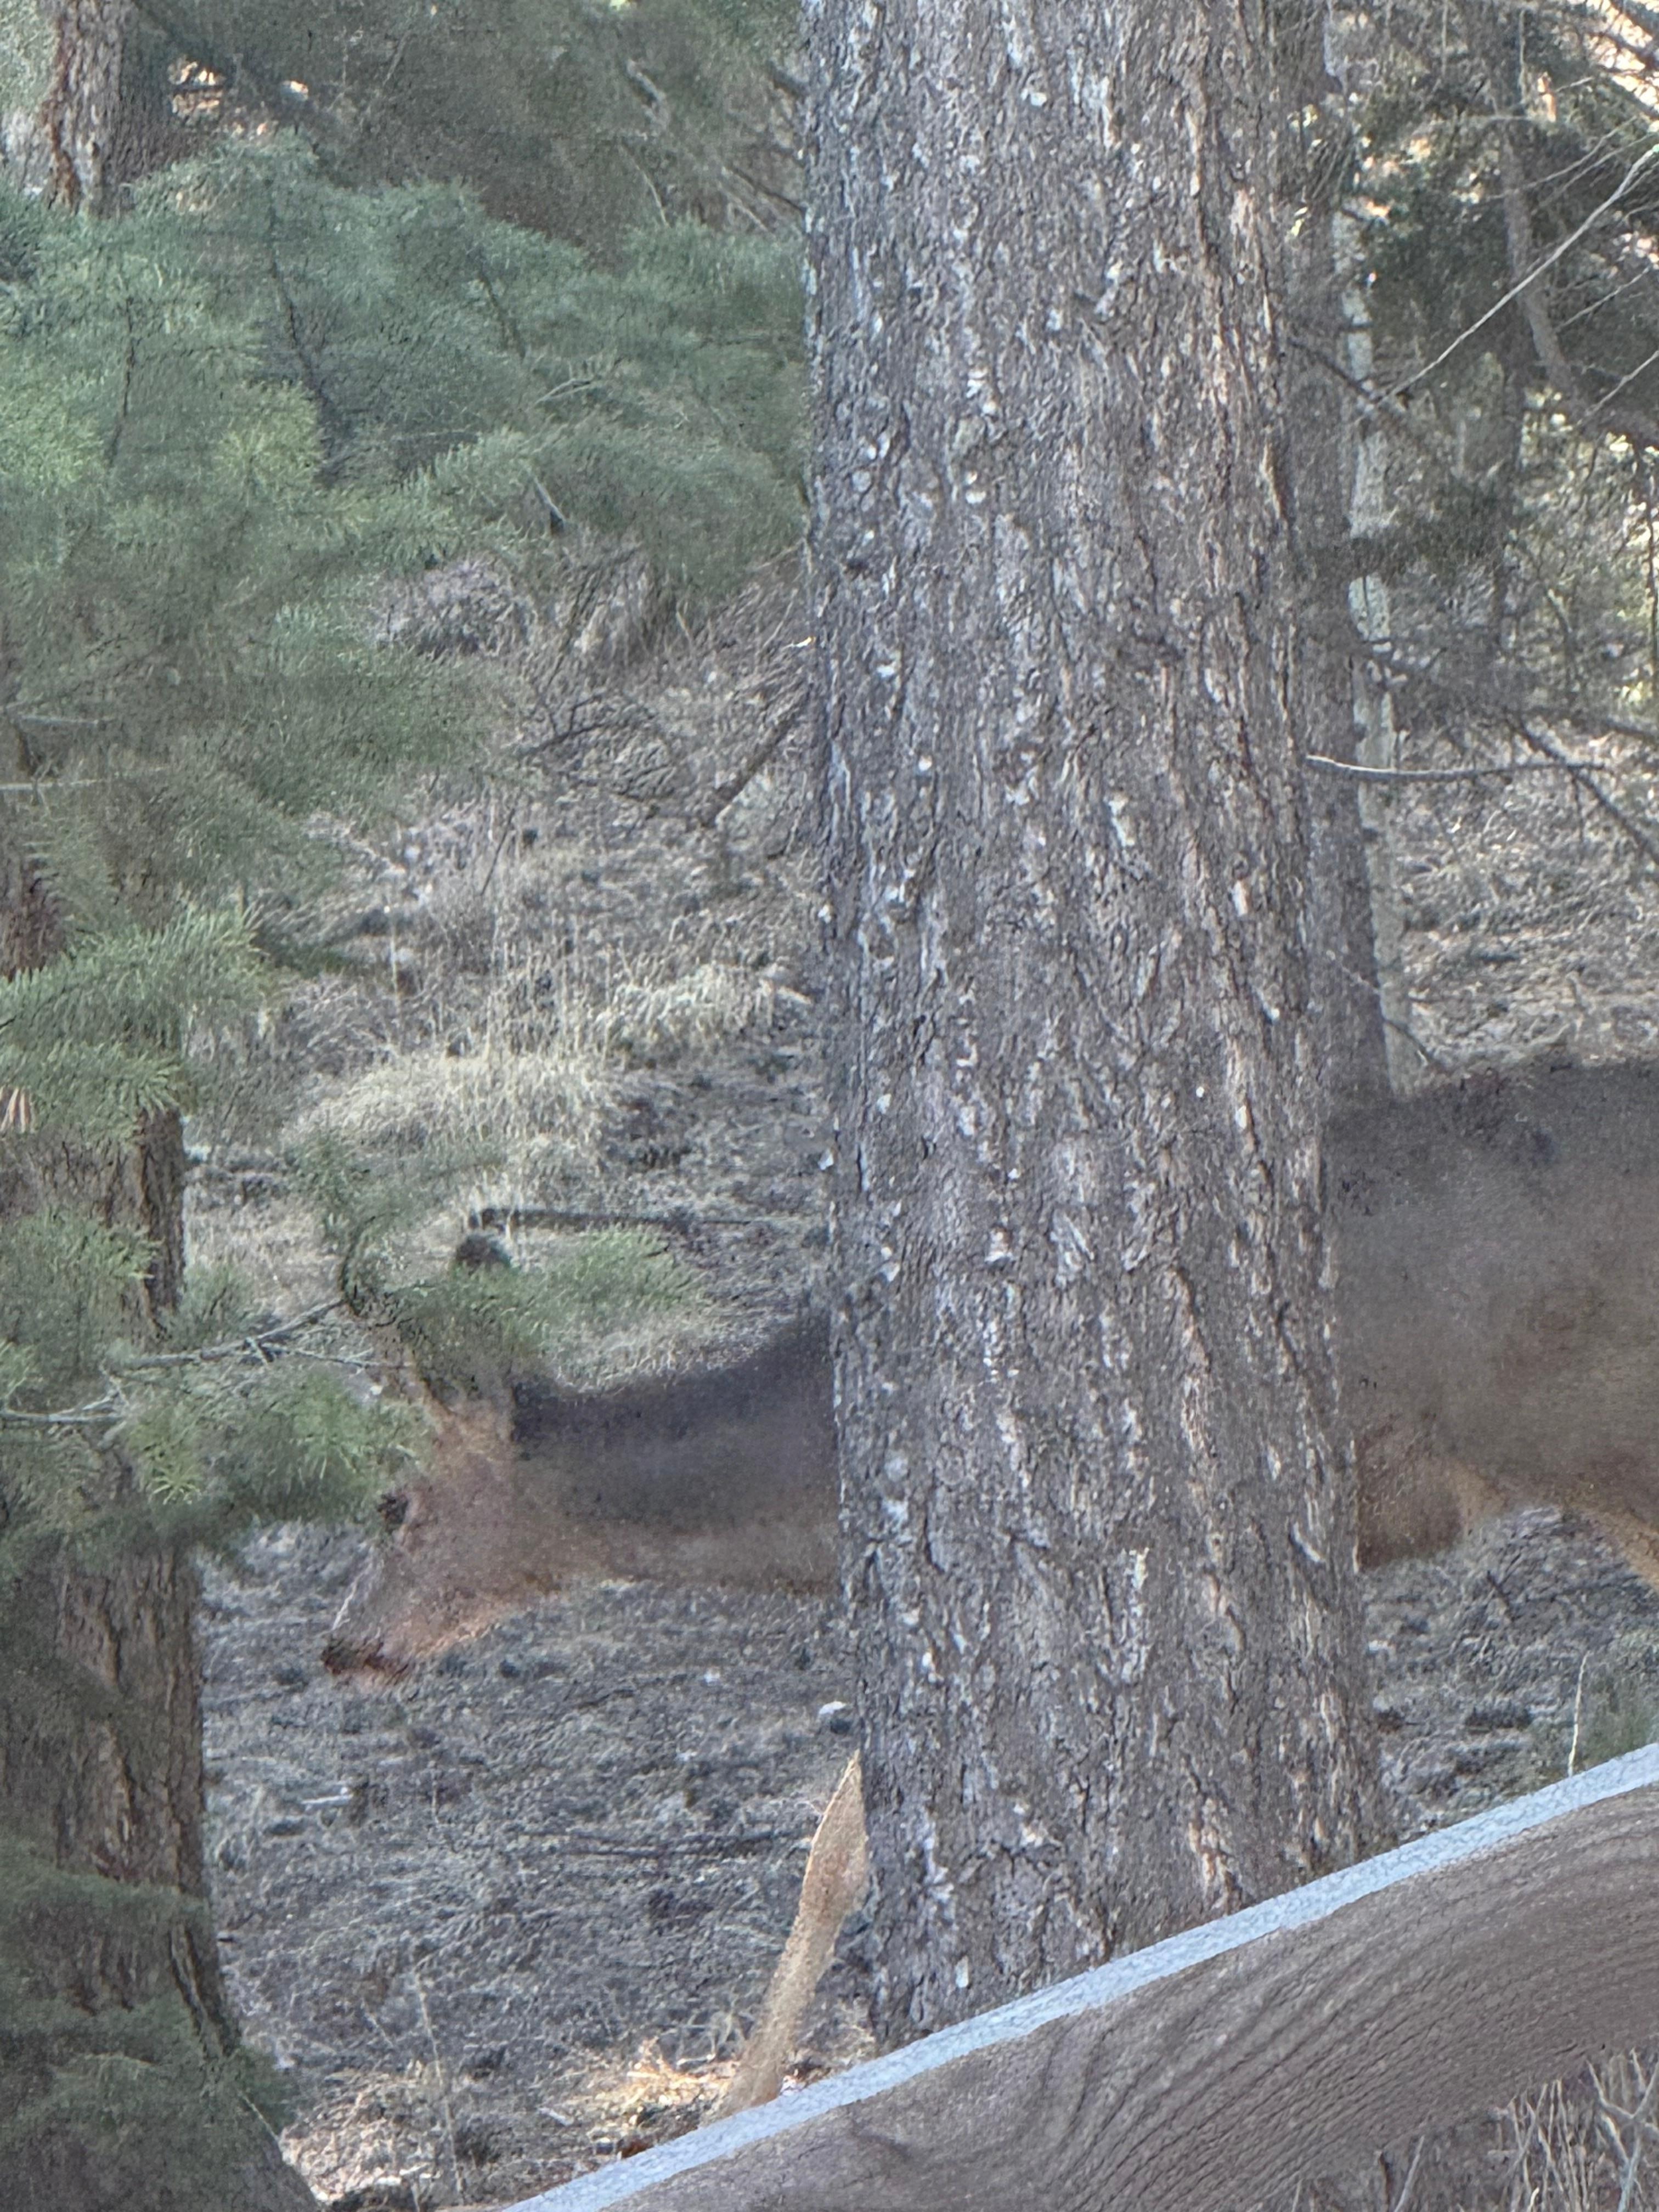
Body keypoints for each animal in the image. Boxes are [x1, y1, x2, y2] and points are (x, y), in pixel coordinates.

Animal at [320, 1058, 1659, 2116]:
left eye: (391, 1503)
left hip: (1584, 1424)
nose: (341, 1645)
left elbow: (830, 1855)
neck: (818, 1473)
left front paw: (732, 2106)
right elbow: (838, 1841)